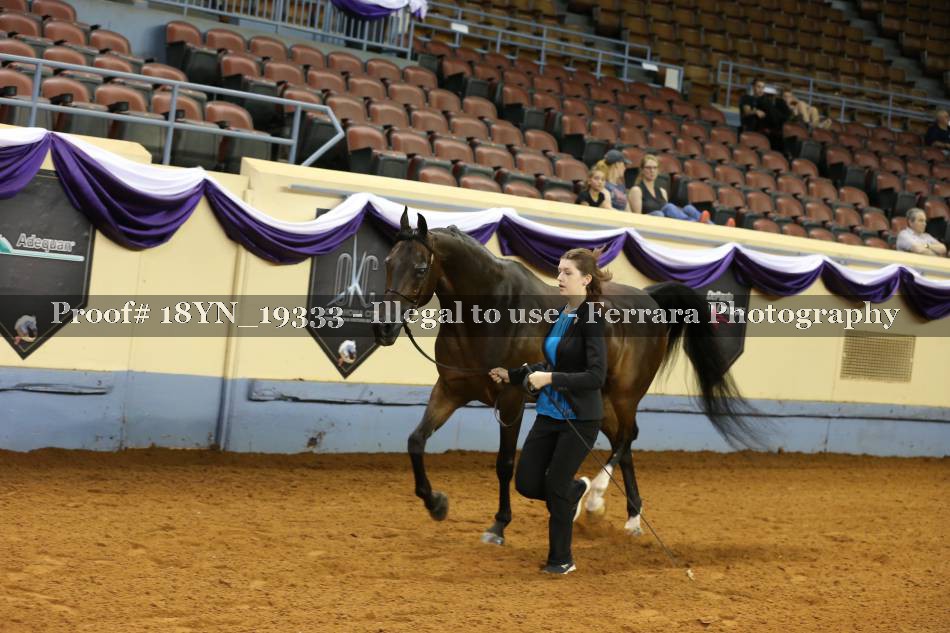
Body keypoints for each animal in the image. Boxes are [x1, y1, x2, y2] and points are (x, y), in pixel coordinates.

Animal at [373, 209, 761, 545]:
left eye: (420, 268)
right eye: (389, 263)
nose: (384, 328)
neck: (488, 311)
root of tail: (650, 300)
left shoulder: (511, 399)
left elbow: (505, 464)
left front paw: (498, 525)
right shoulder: (450, 390)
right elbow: (416, 441)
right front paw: (436, 503)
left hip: (625, 394)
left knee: (626, 438)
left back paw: (595, 501)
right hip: (601, 399)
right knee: (624, 441)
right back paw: (629, 517)